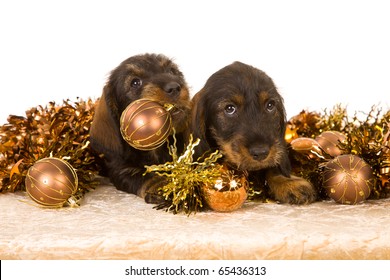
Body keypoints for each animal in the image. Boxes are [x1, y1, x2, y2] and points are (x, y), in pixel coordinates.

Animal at [90, 53, 190, 201]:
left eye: (172, 71)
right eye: (135, 82)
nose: (174, 87)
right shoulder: (120, 169)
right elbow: (140, 175)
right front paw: (159, 183)